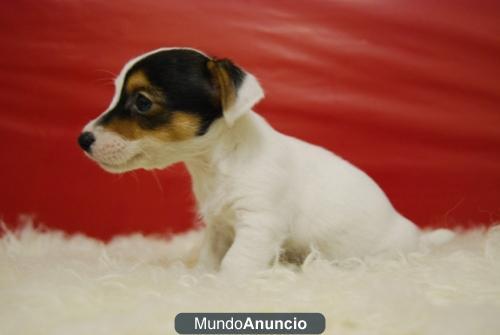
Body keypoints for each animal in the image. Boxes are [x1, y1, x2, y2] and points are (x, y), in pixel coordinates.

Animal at [79, 47, 422, 276]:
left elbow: (234, 264)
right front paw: (199, 278)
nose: (82, 140)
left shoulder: (259, 223)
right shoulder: (218, 225)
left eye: (142, 102)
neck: (219, 162)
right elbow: (209, 258)